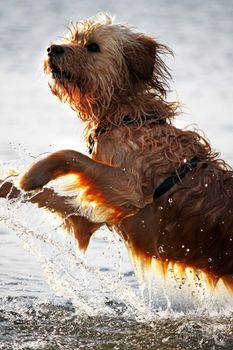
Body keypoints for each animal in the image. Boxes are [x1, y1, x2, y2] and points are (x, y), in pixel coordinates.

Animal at [0, 13, 233, 290]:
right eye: (73, 37)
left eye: (92, 46)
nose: (52, 48)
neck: (125, 117)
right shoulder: (89, 220)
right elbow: (49, 196)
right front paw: (7, 186)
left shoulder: (129, 191)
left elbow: (71, 154)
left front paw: (32, 174)